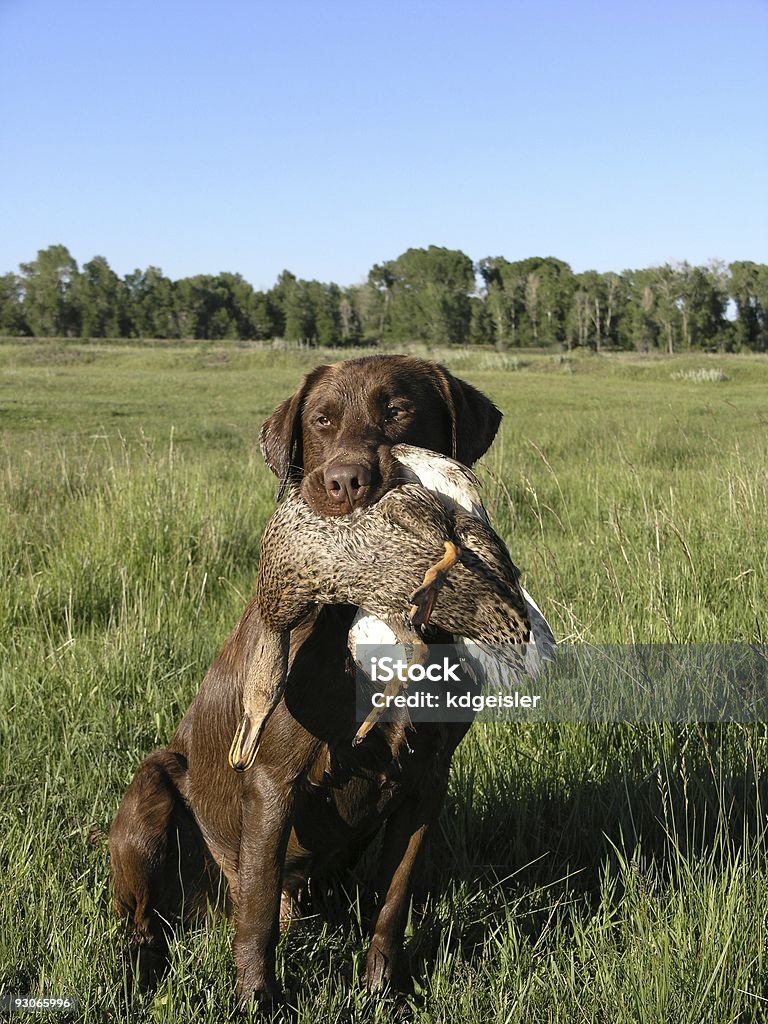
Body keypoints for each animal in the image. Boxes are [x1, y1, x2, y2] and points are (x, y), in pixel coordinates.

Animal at [109, 354, 505, 1007]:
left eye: (398, 410)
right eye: (321, 420)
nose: (345, 482)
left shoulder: (428, 781)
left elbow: (393, 902)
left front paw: (382, 991)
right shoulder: (275, 778)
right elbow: (258, 911)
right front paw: (256, 1000)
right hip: (152, 789)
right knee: (148, 917)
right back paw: (139, 970)